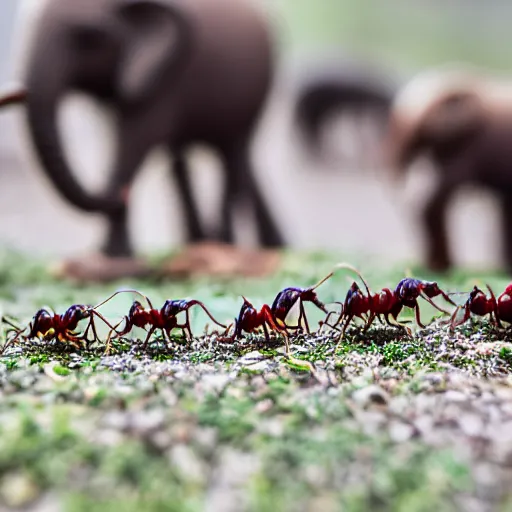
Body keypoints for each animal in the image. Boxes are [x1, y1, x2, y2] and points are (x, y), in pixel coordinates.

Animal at [20, 0, 284, 256]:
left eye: (89, 37)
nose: (122, 194)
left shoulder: (167, 78)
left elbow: (134, 142)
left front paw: (116, 255)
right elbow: (116, 136)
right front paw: (111, 254)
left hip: (256, 92)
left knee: (232, 157)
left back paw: (226, 246)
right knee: (185, 161)